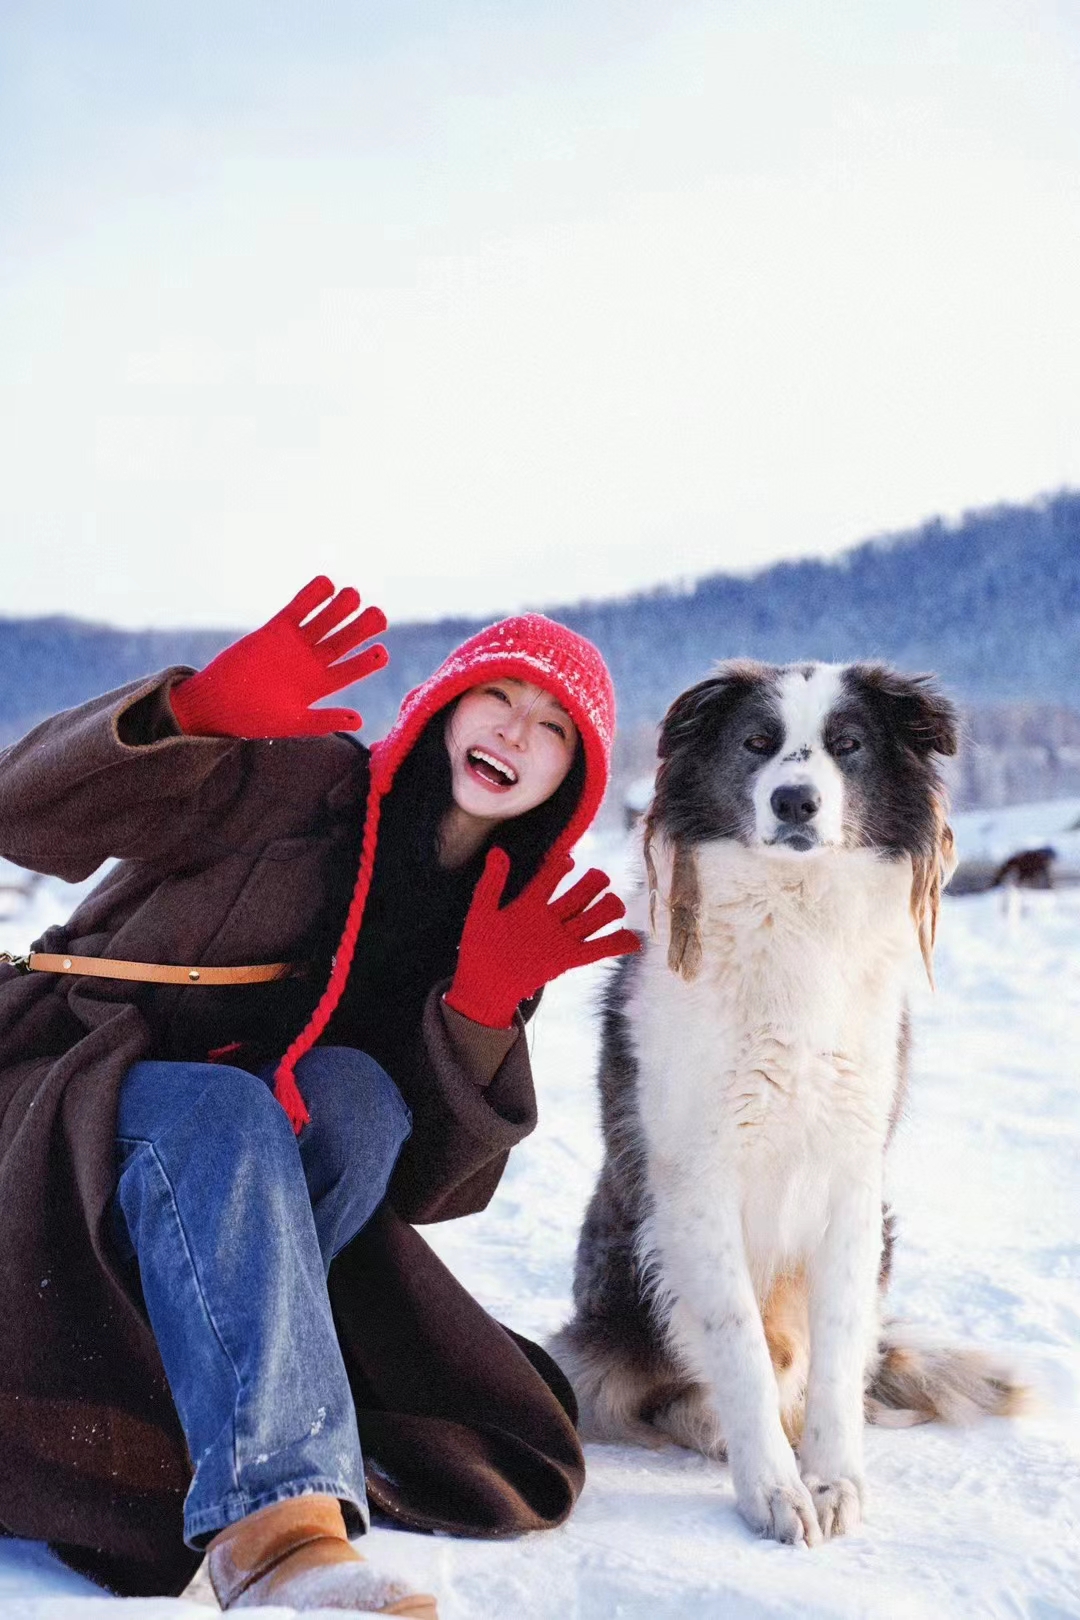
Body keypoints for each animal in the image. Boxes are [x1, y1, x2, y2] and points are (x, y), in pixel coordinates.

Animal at [553, 657, 1016, 1542]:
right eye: (757, 743)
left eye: (848, 745)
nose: (794, 800)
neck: (794, 912)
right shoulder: (697, 1183)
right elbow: (738, 1351)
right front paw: (770, 1488)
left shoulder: (852, 1180)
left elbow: (835, 1356)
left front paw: (832, 1478)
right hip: (615, 1293)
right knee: (666, 1393)